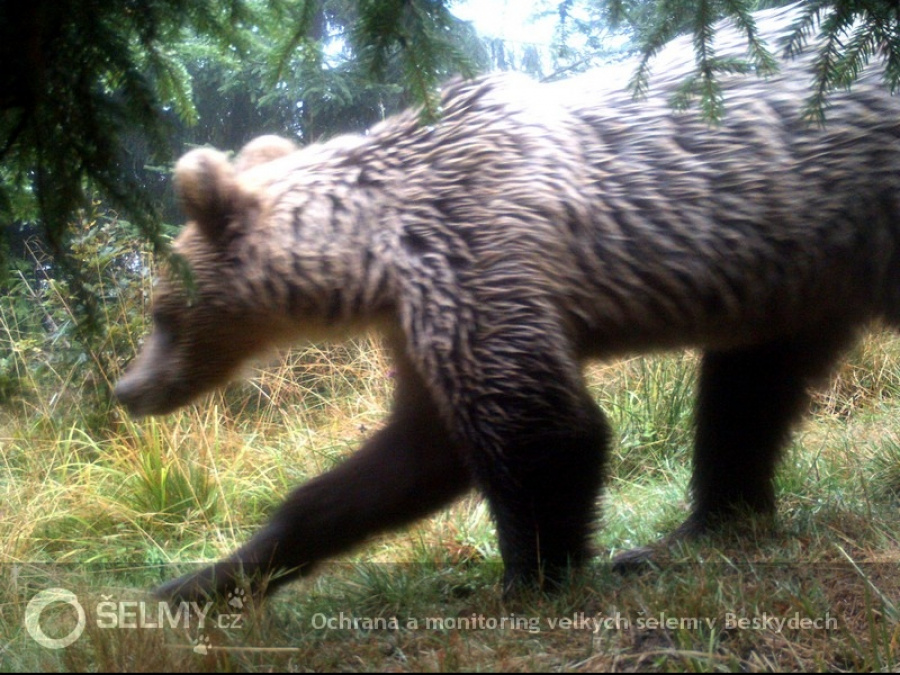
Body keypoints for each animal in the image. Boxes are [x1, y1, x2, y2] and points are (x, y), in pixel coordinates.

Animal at [116, 2, 900, 600]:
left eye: (160, 313)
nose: (127, 387)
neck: (372, 254)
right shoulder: (424, 320)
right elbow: (403, 460)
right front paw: (196, 582)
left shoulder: (478, 260)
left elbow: (542, 432)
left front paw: (530, 576)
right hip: (797, 271)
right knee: (747, 393)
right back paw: (696, 529)